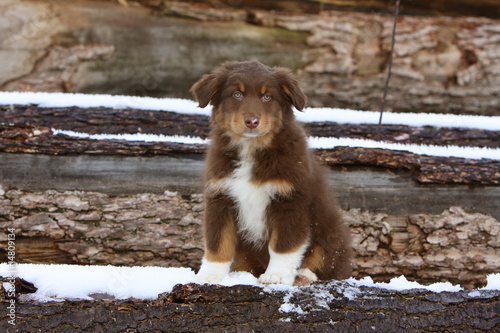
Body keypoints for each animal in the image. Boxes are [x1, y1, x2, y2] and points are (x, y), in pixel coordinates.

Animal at [190, 61, 352, 284]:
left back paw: (305, 276)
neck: (252, 149)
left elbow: (283, 246)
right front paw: (209, 276)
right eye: (237, 94)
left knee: (330, 262)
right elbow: (217, 244)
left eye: (266, 97)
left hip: (332, 230)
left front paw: (276, 276)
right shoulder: (220, 197)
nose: (252, 121)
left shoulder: (290, 200)